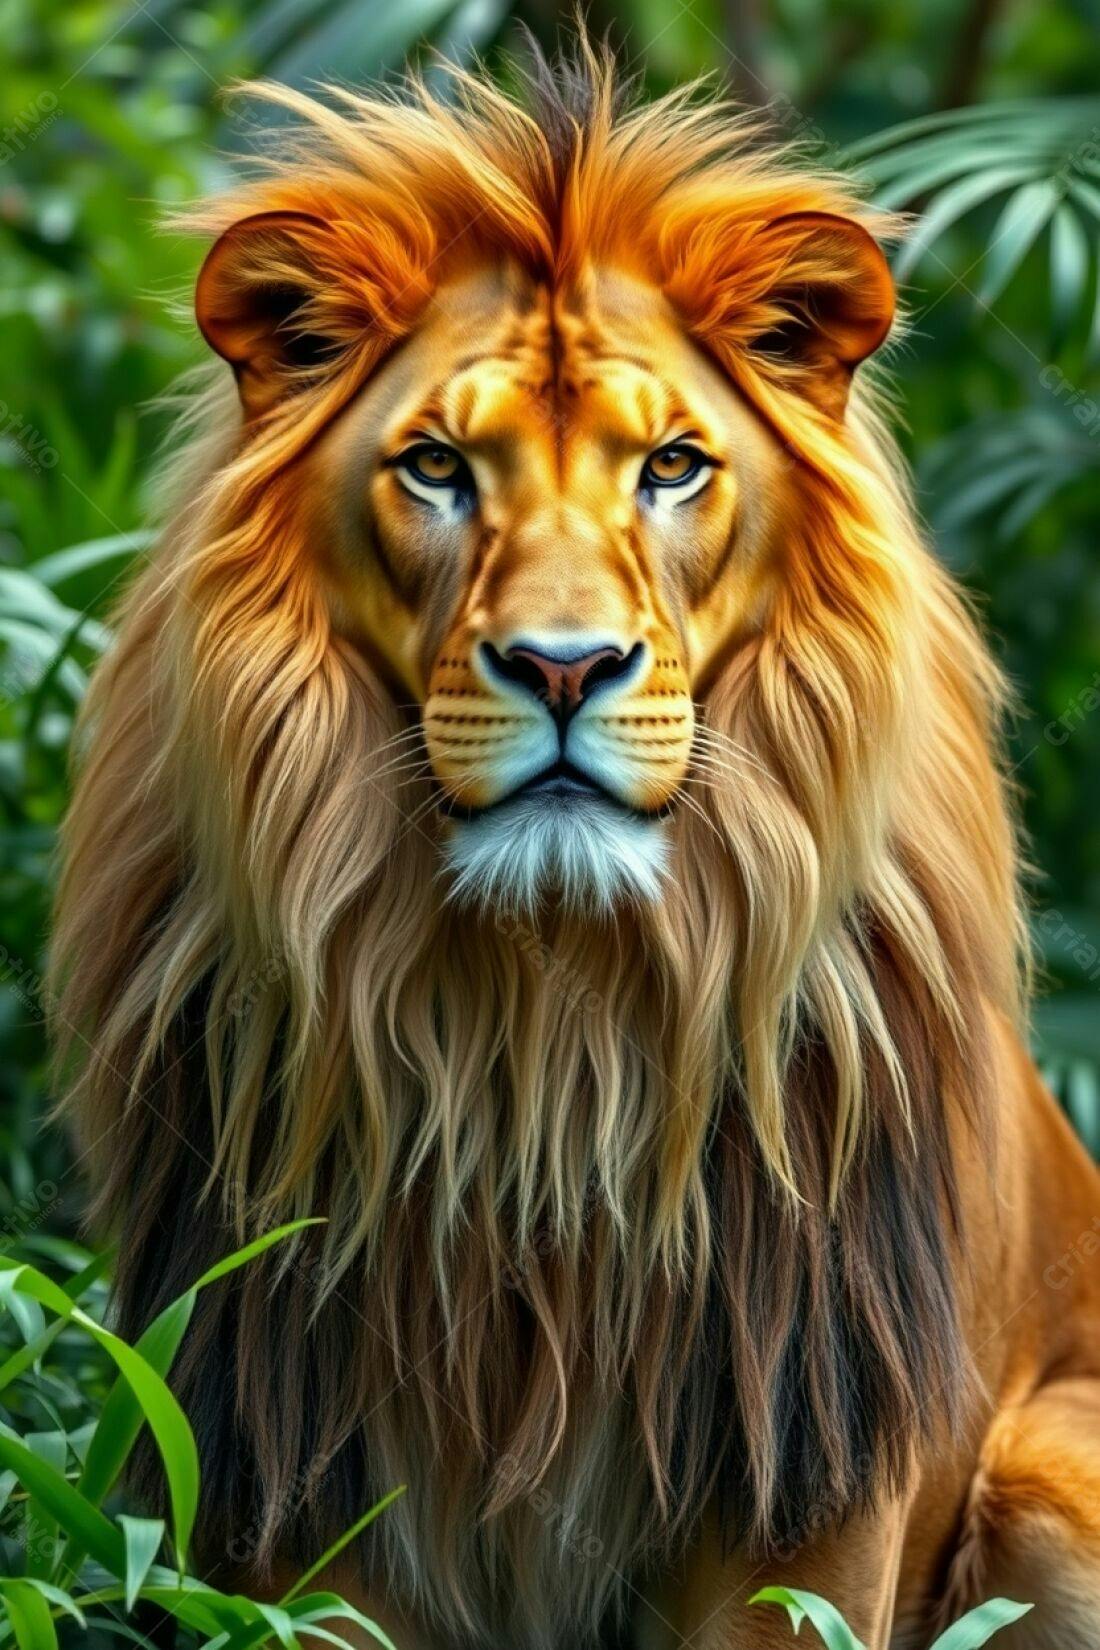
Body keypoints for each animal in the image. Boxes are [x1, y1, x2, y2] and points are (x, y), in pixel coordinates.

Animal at [50, 37, 1100, 1650]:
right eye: (435, 467)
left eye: (670, 466)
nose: (563, 667)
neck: (543, 1035)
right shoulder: (294, 1452)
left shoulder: (798, 1456)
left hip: (1054, 1467)